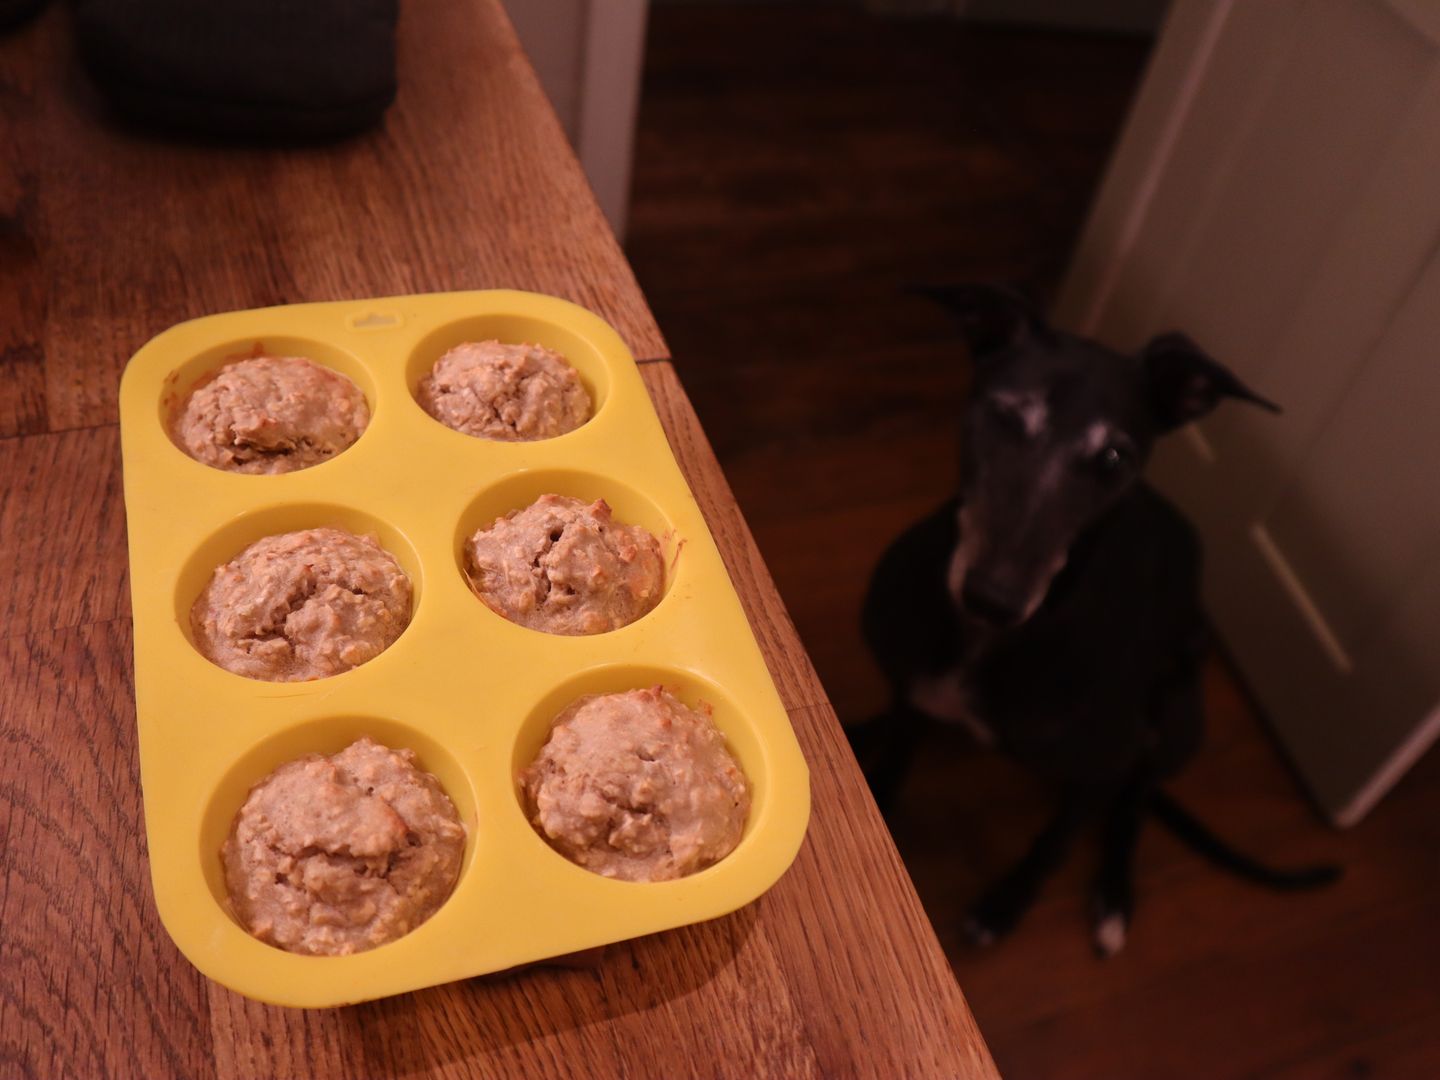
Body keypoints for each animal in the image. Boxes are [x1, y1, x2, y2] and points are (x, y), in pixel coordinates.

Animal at [852, 285, 1336, 956]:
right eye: (1006, 415)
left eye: (1112, 456)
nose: (992, 599)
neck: (990, 644)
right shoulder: (912, 690)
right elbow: (895, 760)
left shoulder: (1101, 765)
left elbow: (1055, 842)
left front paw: (1004, 906)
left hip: (1179, 710)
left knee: (1136, 798)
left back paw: (1114, 896)